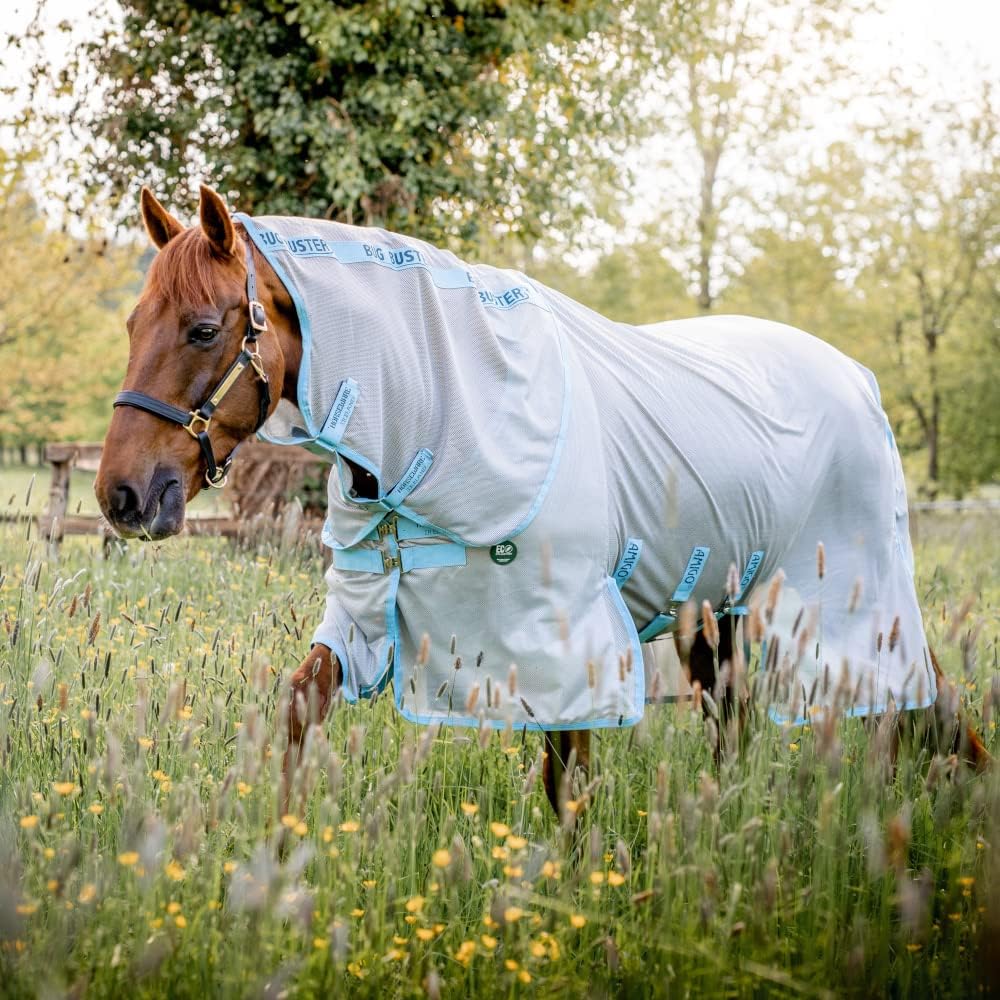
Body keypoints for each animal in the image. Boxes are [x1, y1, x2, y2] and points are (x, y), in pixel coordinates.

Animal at [95, 186, 988, 816]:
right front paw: (280, 855)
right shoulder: (362, 610)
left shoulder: (568, 638)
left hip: (844, 601)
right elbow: (300, 704)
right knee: (737, 730)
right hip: (720, 612)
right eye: (132, 324)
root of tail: (857, 378)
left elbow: (567, 784)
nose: (124, 495)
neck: (452, 405)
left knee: (927, 701)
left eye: (204, 329)